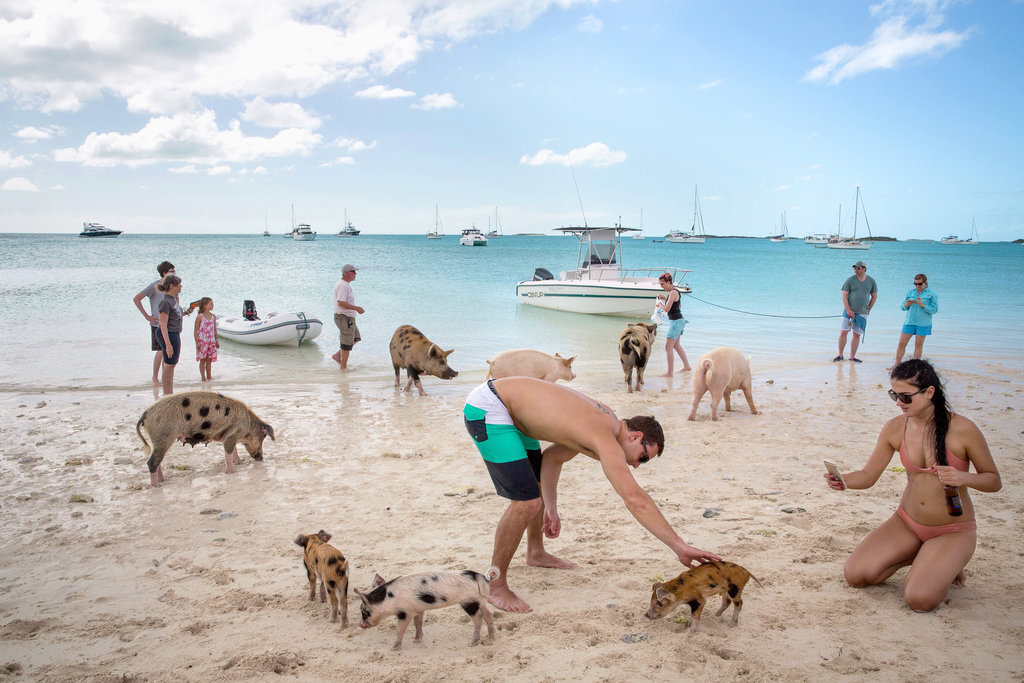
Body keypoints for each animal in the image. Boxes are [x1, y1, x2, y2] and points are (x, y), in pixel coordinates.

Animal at [134, 389, 274, 485]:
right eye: (262, 438)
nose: (261, 458)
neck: (248, 424)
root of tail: (145, 414)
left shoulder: (229, 437)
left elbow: (234, 451)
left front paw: (239, 463)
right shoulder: (231, 436)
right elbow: (228, 453)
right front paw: (231, 472)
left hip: (159, 441)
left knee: (157, 461)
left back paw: (163, 480)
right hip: (163, 436)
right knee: (152, 462)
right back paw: (156, 485)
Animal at [356, 569, 499, 651]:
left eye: (364, 612)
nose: (360, 625)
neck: (388, 600)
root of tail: (481, 577)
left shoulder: (405, 612)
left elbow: (400, 630)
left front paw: (393, 648)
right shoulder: (418, 609)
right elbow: (418, 623)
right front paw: (416, 640)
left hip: (469, 602)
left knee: (479, 618)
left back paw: (472, 643)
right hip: (481, 600)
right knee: (489, 614)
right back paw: (492, 637)